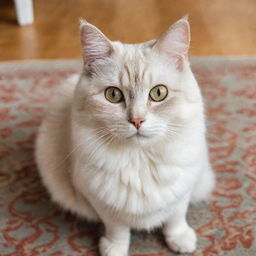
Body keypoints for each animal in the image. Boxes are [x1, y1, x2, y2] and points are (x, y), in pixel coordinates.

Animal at [35, 17, 216, 255]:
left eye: (159, 93)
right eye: (113, 95)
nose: (137, 121)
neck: (140, 160)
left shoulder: (183, 192)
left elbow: (175, 219)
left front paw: (181, 241)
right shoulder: (102, 204)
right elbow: (118, 229)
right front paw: (114, 248)